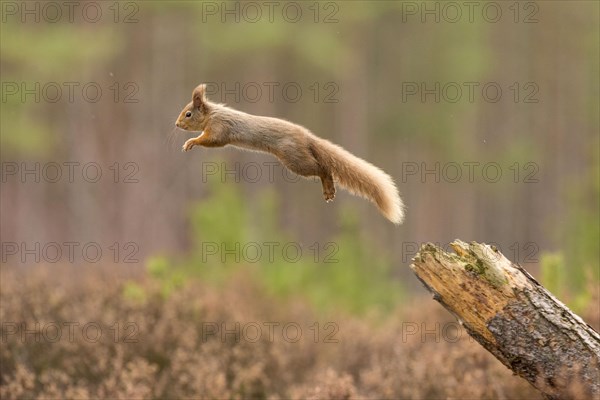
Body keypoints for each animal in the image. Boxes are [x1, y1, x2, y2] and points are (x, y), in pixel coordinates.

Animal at [176, 83, 406, 225]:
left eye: (188, 114)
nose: (177, 124)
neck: (213, 114)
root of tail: (306, 137)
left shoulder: (219, 128)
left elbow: (211, 140)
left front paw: (191, 142)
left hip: (294, 159)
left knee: (322, 168)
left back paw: (328, 187)